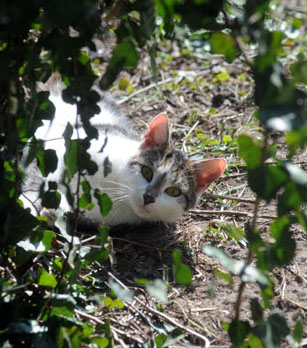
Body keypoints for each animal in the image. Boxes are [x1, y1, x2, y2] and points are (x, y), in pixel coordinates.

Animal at [20, 76, 227, 226]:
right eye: (146, 172)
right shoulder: (62, 145)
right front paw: (29, 202)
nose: (148, 197)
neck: (117, 191)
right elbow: (45, 174)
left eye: (174, 191)